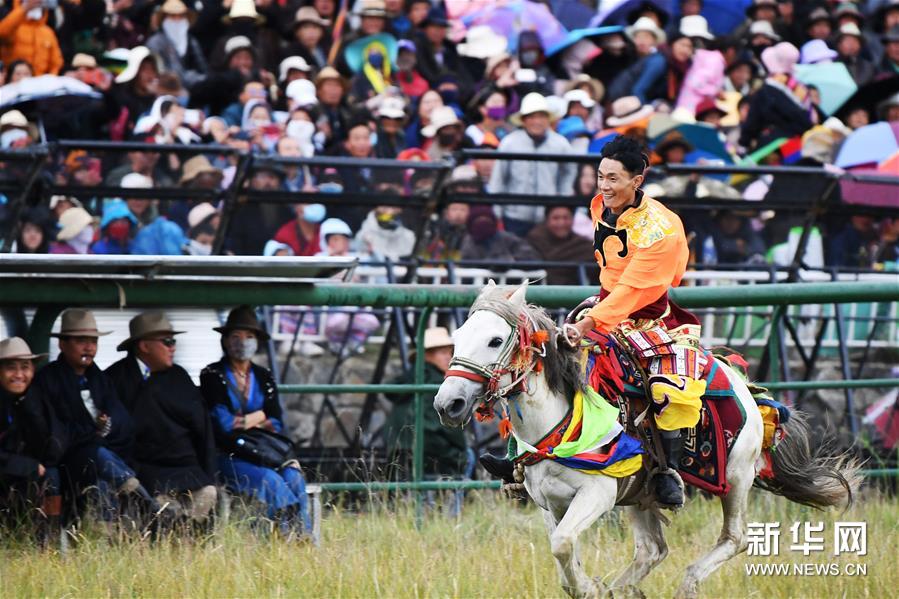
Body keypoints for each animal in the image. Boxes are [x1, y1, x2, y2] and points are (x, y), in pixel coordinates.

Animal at [434, 282, 862, 599]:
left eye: (494, 340)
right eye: (459, 336)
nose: (448, 403)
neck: (558, 422)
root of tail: (746, 388)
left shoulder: (598, 493)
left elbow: (563, 545)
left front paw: (589, 588)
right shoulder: (547, 502)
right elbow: (562, 549)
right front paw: (589, 587)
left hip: (737, 476)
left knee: (735, 537)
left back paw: (687, 584)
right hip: (641, 493)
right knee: (653, 550)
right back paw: (621, 589)